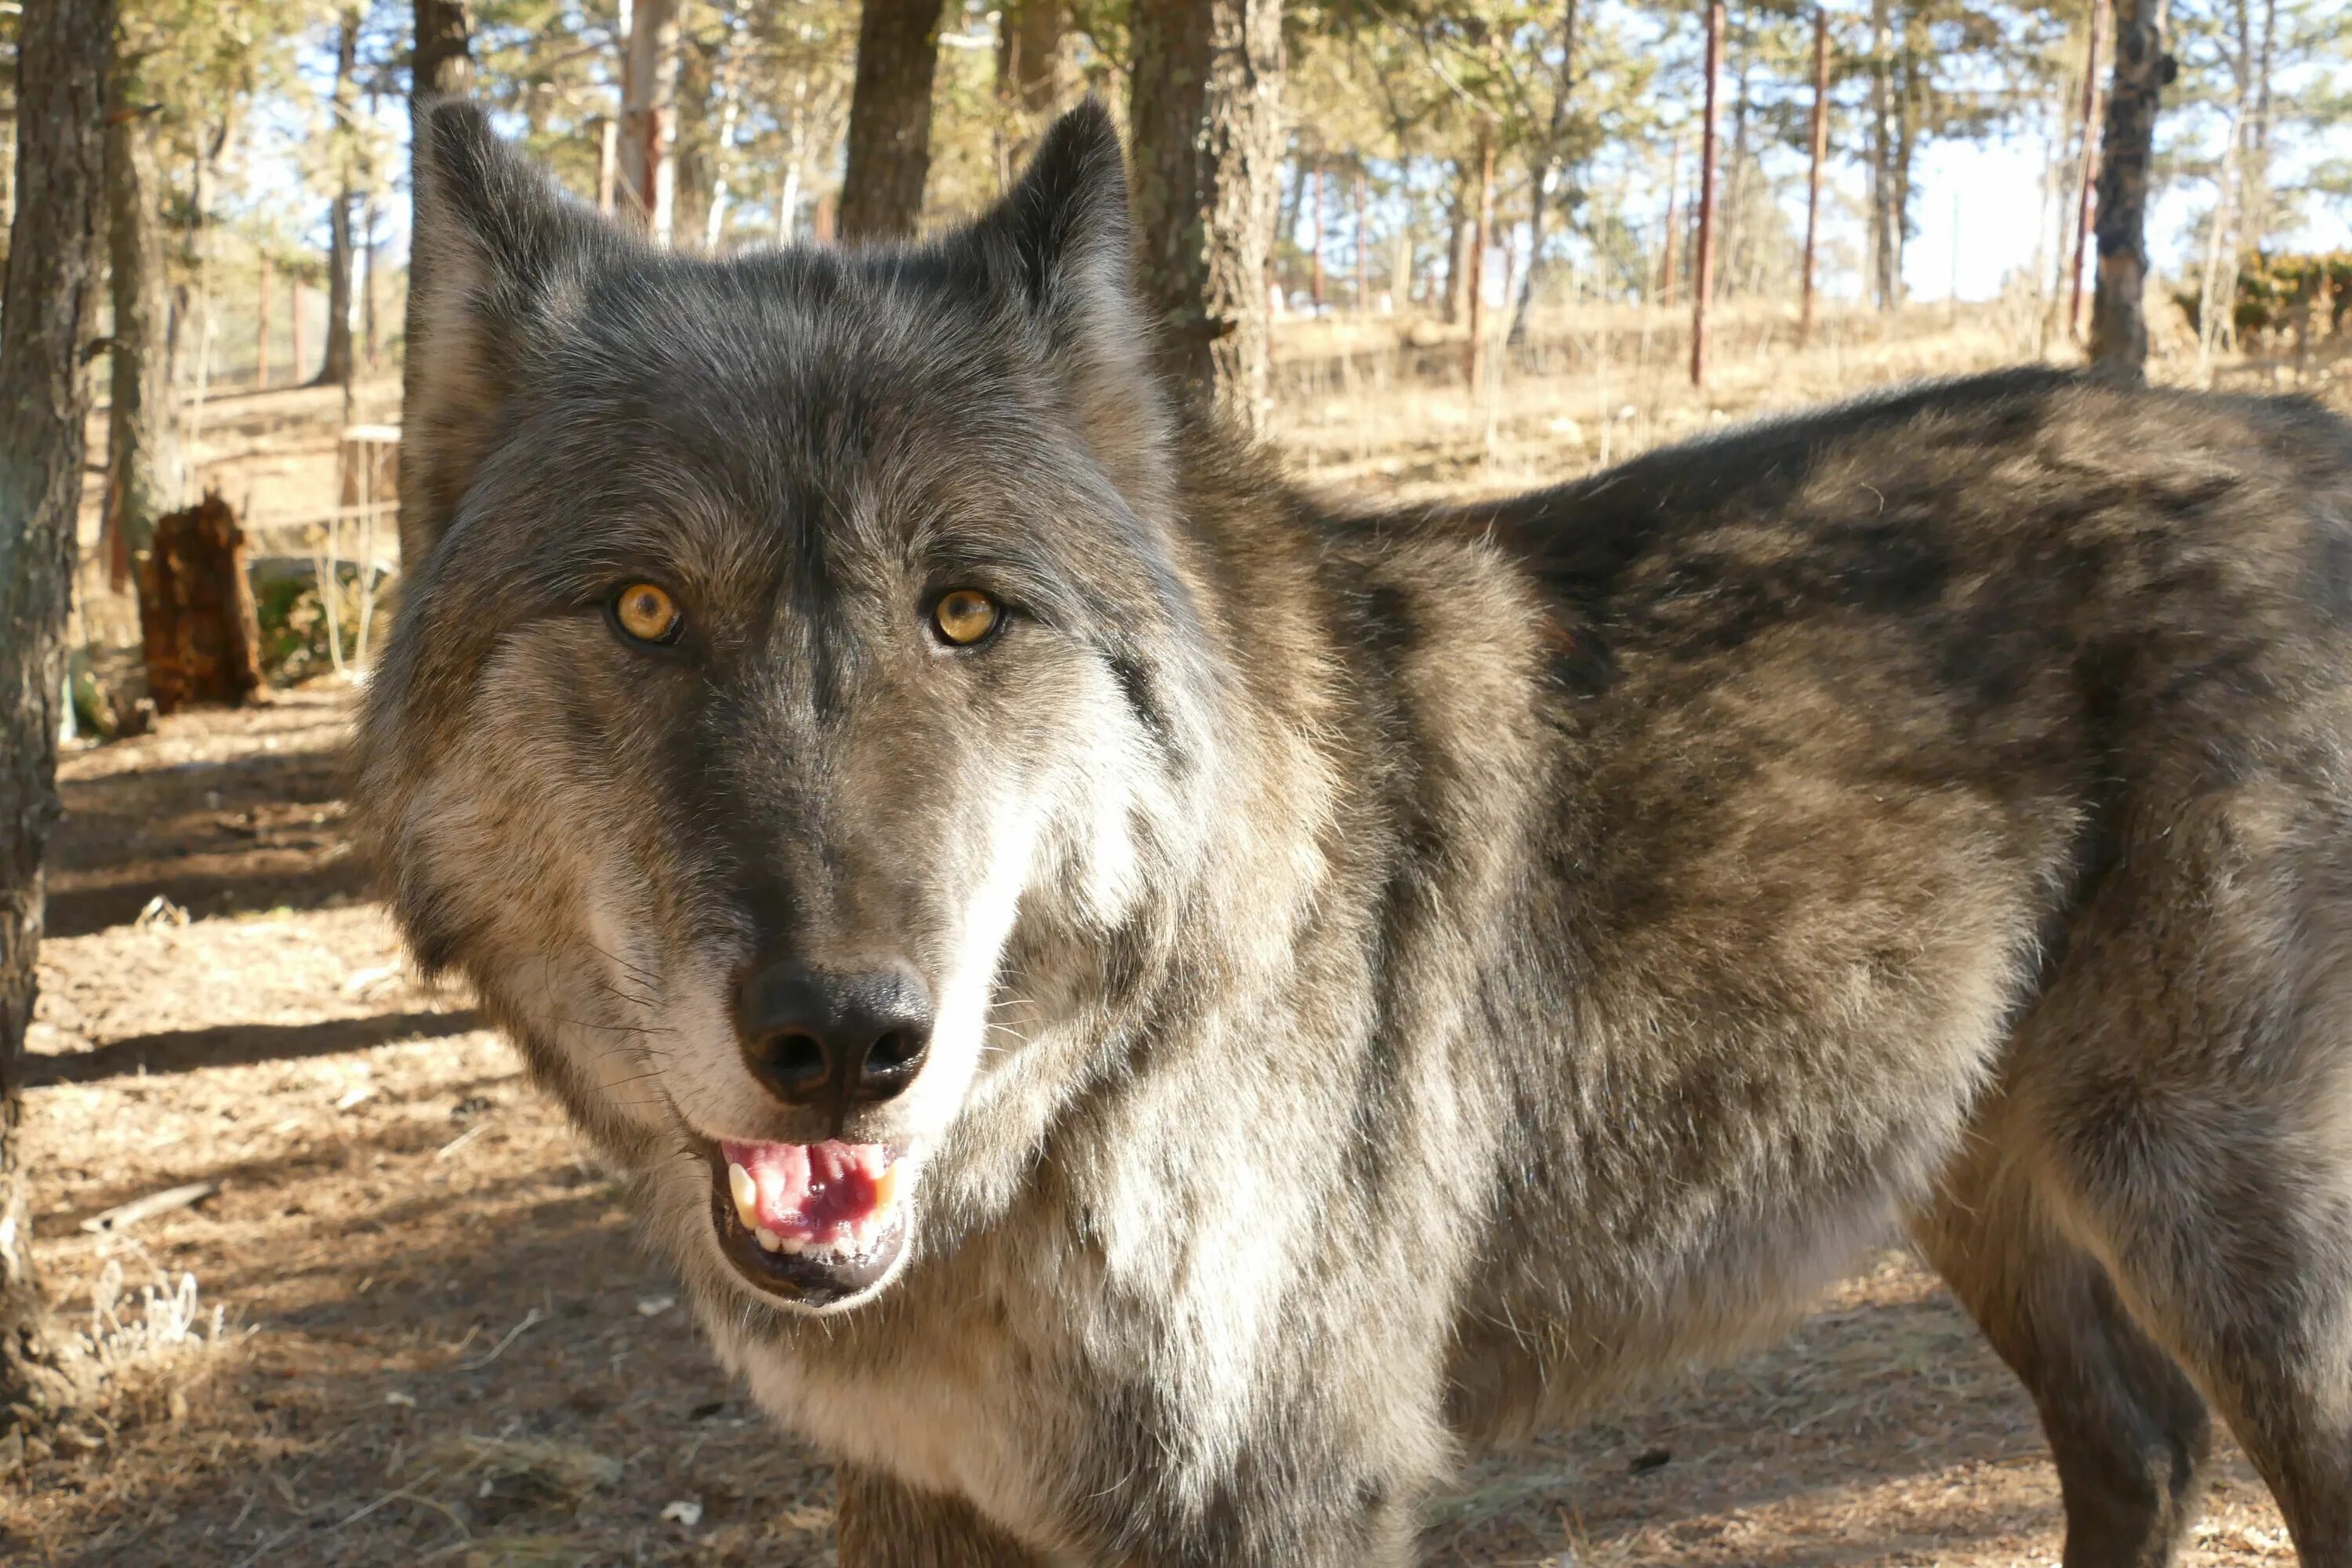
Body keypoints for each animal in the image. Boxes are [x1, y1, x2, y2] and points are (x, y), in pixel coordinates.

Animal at [361, 98, 2352, 1565]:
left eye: (965, 613)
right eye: (642, 611)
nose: (845, 1038)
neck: (1084, 1106)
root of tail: (2302, 432)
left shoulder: (1281, 1498)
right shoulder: (923, 1492)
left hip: (2203, 1211)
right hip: (1978, 1179)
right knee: (2142, 1445)